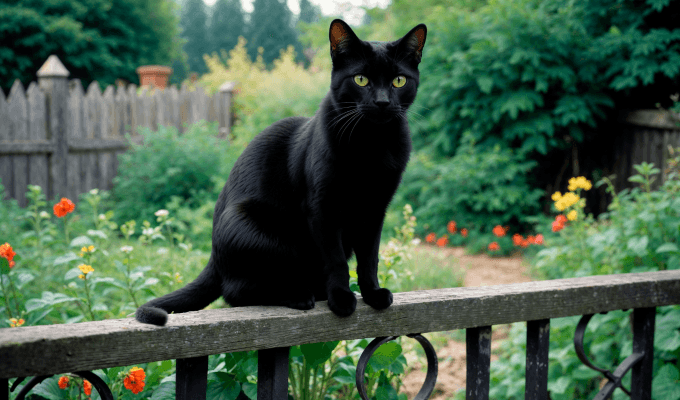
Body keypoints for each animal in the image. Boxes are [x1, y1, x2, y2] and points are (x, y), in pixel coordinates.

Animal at [135, 18, 428, 324]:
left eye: (398, 81)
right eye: (361, 79)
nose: (382, 102)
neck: (371, 144)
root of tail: (214, 257)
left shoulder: (374, 210)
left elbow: (370, 258)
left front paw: (372, 294)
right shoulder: (322, 208)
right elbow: (335, 260)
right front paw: (341, 299)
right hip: (257, 232)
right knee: (237, 292)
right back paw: (299, 296)